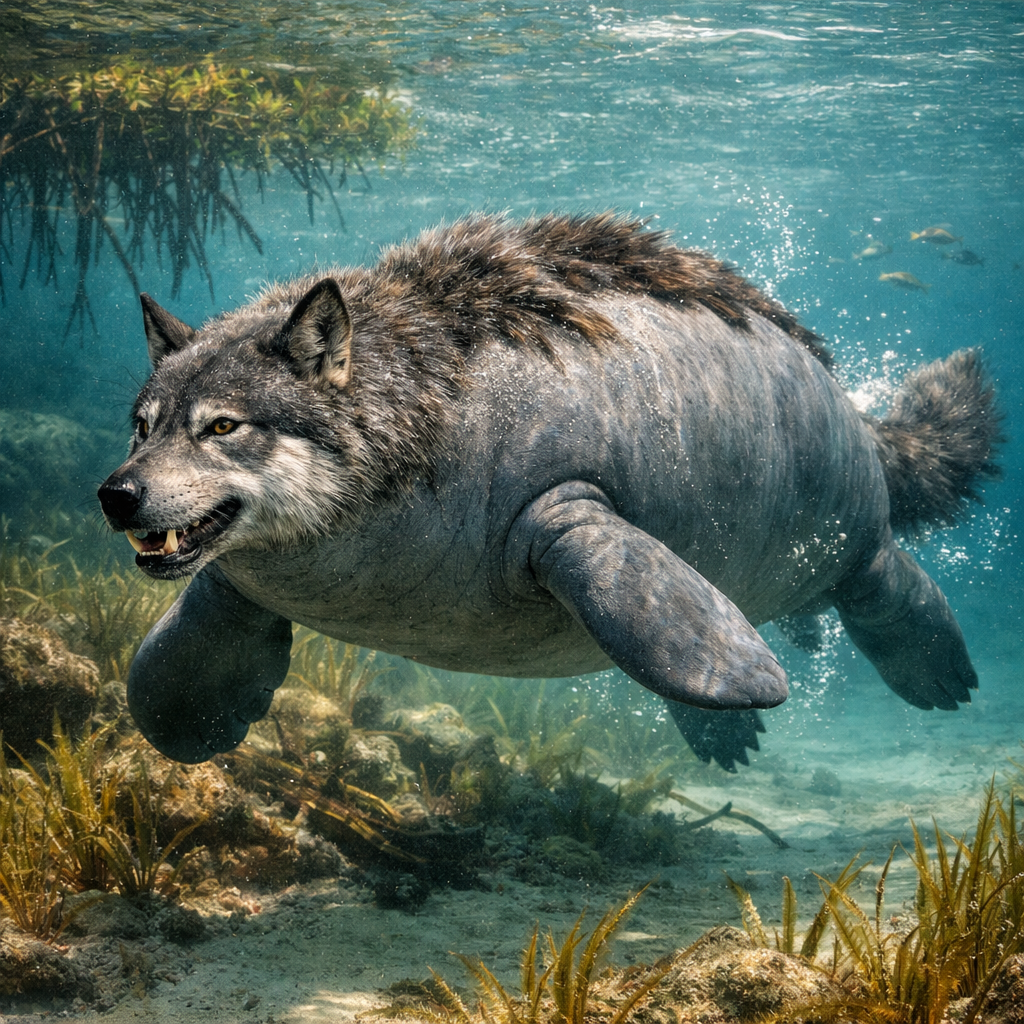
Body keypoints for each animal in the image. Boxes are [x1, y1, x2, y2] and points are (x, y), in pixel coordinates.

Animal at [98, 213, 1002, 768]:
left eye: (223, 425)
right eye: (141, 423)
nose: (116, 494)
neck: (413, 398)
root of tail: (873, 427)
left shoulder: (570, 508)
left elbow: (655, 606)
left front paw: (751, 682)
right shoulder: (236, 580)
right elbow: (173, 666)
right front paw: (189, 726)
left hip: (857, 534)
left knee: (884, 581)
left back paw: (946, 684)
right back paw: (730, 740)